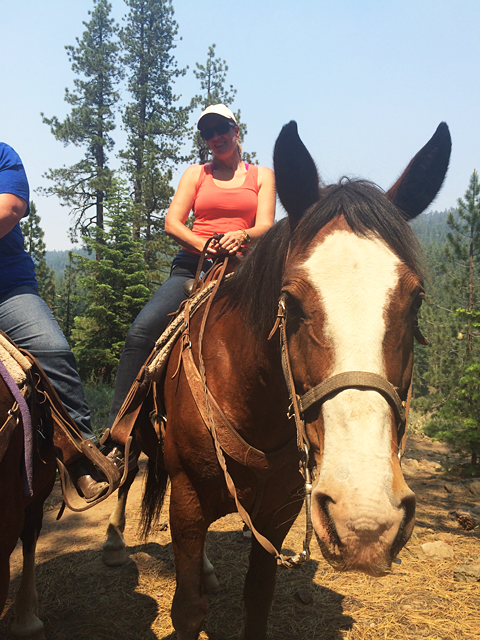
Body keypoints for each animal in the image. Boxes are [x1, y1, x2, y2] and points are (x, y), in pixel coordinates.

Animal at [103, 121, 452, 640]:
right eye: (292, 301)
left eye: (416, 301)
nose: (365, 521)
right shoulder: (186, 499)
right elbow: (187, 608)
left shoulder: (279, 510)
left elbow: (258, 597)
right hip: (138, 436)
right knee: (126, 471)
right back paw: (112, 541)